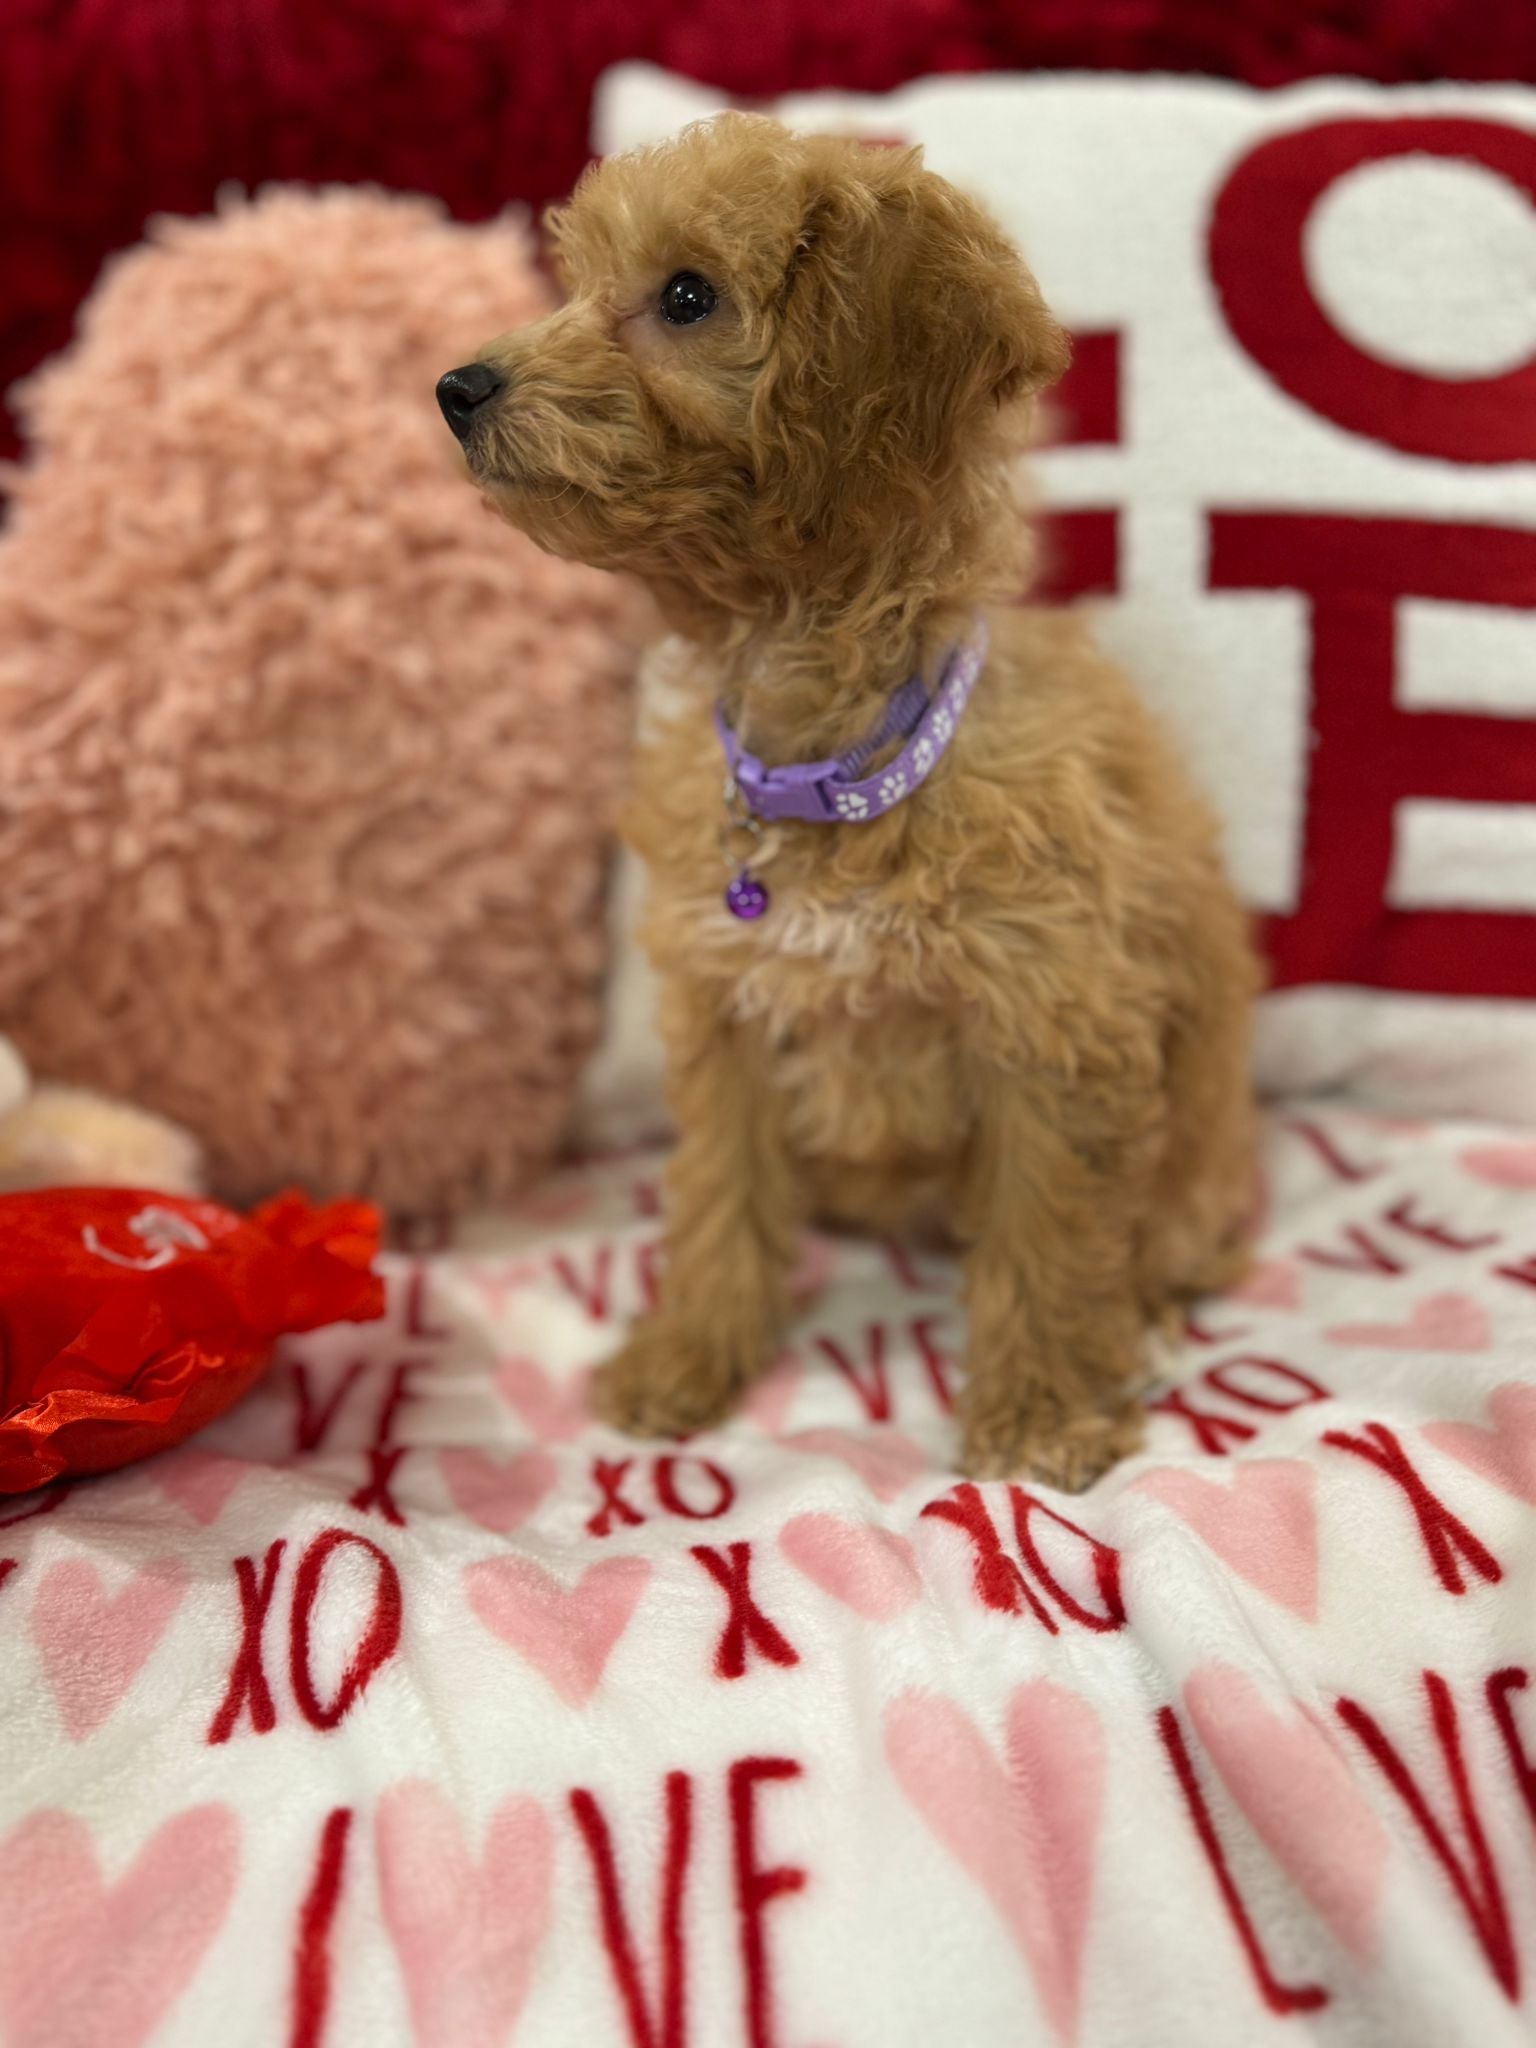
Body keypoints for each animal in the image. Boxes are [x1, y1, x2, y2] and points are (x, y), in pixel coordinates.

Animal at [438, 116, 1253, 1490]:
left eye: (688, 296)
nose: (457, 386)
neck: (828, 756)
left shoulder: (1055, 1019)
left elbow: (1050, 1227)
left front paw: (1043, 1408)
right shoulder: (724, 1008)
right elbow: (718, 1195)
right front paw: (688, 1354)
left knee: (1176, 1232)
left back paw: (1143, 1306)